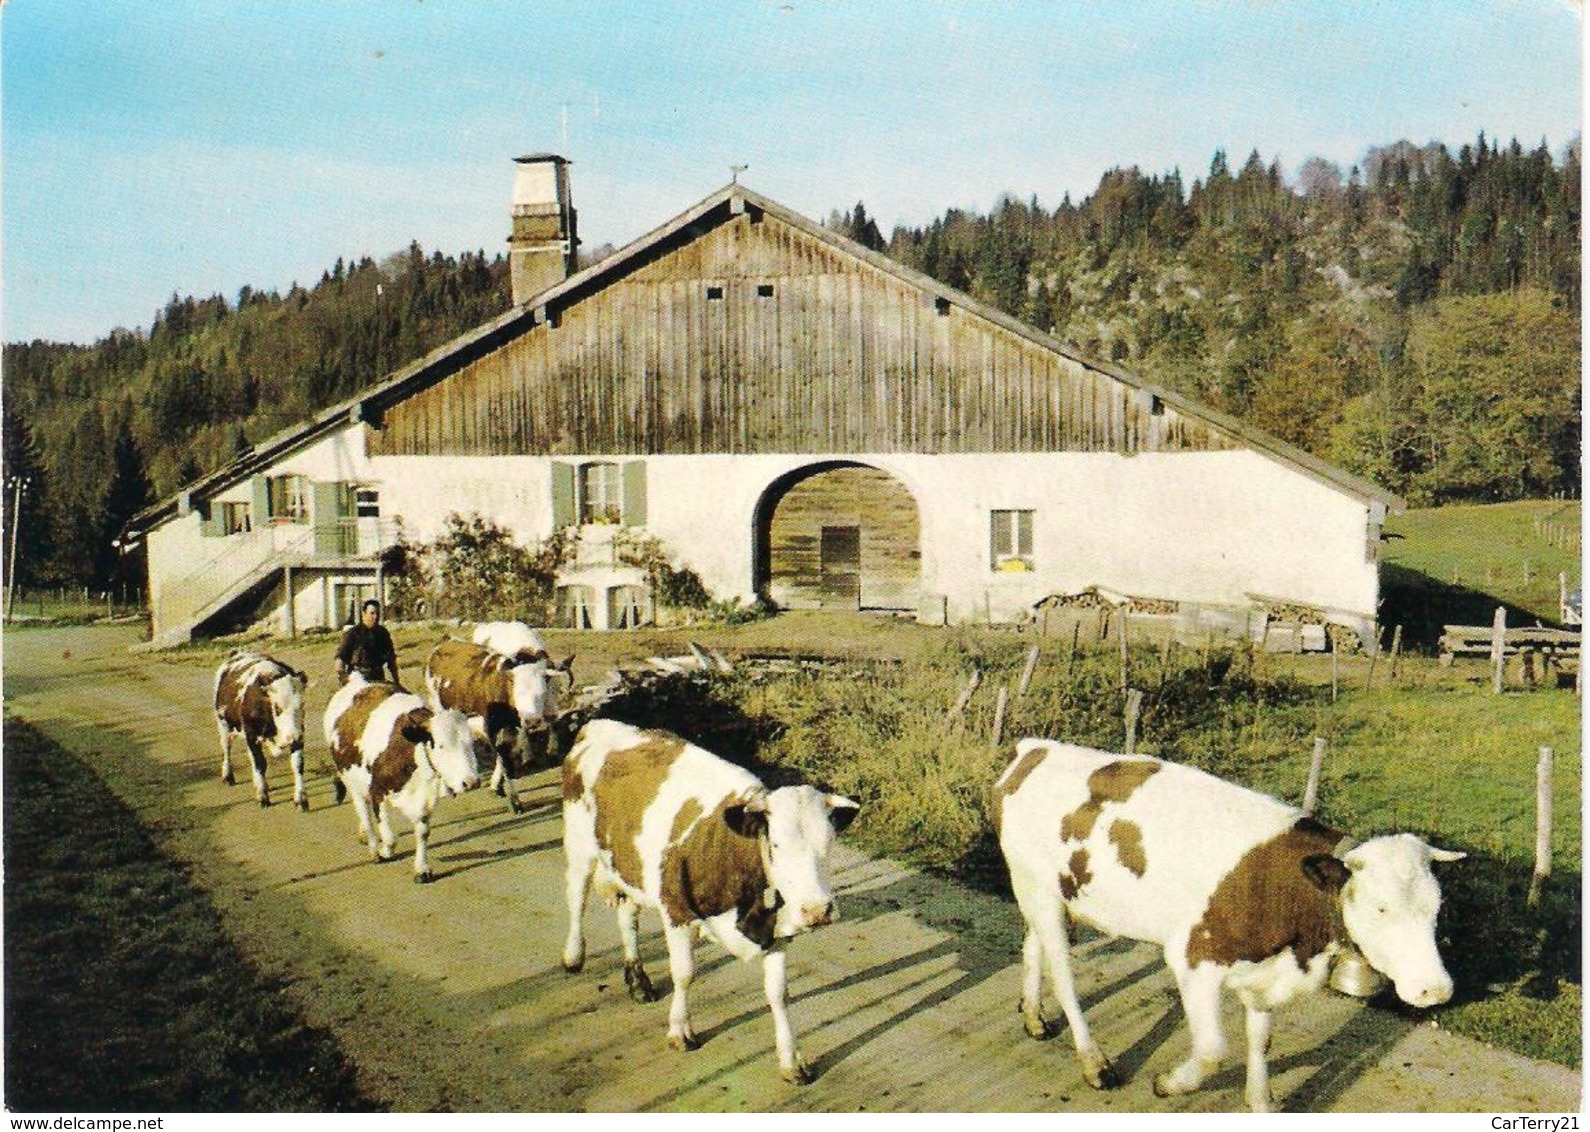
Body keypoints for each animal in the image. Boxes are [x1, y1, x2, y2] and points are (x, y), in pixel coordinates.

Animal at [213, 648, 308, 807]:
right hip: (223, 724)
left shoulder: (299, 733)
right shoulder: (251, 734)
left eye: (302, 705)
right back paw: (228, 775)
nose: (293, 736)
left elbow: (297, 764)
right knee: (226, 748)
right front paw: (263, 796)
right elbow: (260, 763)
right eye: (277, 707)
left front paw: (300, 799)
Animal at [319, 670, 473, 883]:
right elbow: (389, 835)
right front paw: (384, 851)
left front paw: (422, 869)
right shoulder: (376, 791)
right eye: (441, 746)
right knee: (363, 810)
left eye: (471, 742)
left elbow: (423, 831)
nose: (471, 781)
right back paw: (373, 845)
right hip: (349, 777)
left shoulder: (424, 800)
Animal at [559, 721, 858, 1081]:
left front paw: (792, 1060)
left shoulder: (775, 931)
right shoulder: (676, 912)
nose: (817, 911)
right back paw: (573, 956)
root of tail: (599, 725)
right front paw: (680, 1031)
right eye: (775, 845)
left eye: (829, 843)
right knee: (576, 898)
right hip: (579, 847)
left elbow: (779, 994)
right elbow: (684, 974)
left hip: (626, 863)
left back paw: (638, 980)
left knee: (627, 917)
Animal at [992, 737, 1462, 1112]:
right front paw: (1169, 1084)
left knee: (1032, 945)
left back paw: (1033, 1017)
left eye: (1437, 907)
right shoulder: (1193, 959)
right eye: (1381, 908)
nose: (1436, 990)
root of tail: (1034, 747)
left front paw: (1260, 1102)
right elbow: (1213, 1049)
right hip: (1040, 892)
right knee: (1063, 976)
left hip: (1042, 892)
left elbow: (1261, 1038)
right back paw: (1094, 1062)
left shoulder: (1265, 971)